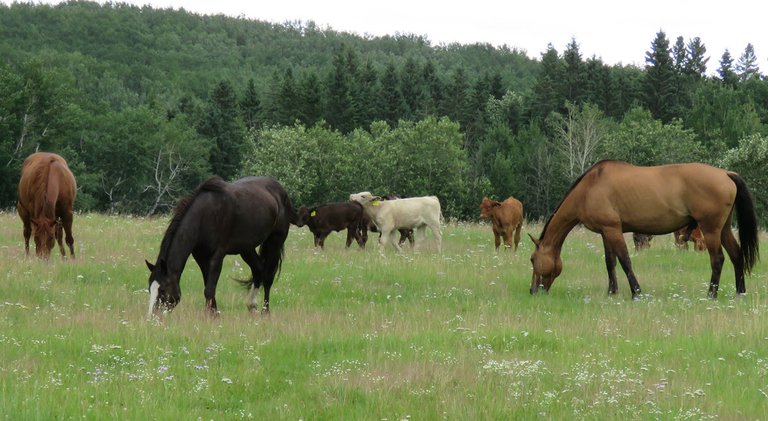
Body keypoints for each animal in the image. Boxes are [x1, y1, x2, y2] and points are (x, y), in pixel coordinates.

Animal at [146, 176, 296, 316]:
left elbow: (209, 289)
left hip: (275, 241)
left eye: (163, 290)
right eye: (150, 288)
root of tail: (281, 191)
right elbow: (208, 286)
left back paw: (266, 312)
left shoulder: (217, 256)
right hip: (246, 248)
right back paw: (252, 306)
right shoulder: (201, 257)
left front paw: (209, 316)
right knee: (258, 269)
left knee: (268, 276)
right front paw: (214, 314)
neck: (205, 215)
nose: (152, 318)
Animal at [532, 160, 760, 298]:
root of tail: (726, 173)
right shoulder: (606, 232)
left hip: (710, 229)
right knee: (736, 255)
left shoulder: (613, 230)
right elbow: (610, 262)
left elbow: (625, 261)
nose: (533, 290)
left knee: (718, 259)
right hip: (723, 229)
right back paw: (740, 293)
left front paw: (636, 292)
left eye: (533, 260)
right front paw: (612, 292)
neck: (589, 188)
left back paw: (711, 295)